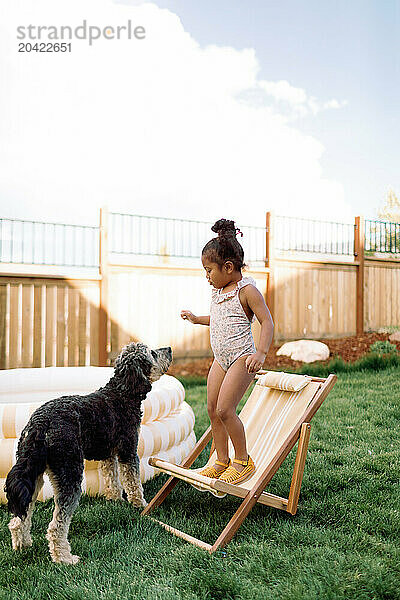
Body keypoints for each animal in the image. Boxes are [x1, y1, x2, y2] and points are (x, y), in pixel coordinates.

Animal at [4, 342, 173, 564]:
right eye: (152, 353)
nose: (169, 349)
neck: (121, 391)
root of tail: (39, 424)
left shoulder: (109, 454)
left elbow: (112, 480)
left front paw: (115, 501)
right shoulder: (128, 451)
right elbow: (133, 483)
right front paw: (140, 505)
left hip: (34, 476)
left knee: (19, 518)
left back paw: (22, 546)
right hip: (69, 474)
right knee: (56, 526)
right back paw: (64, 558)